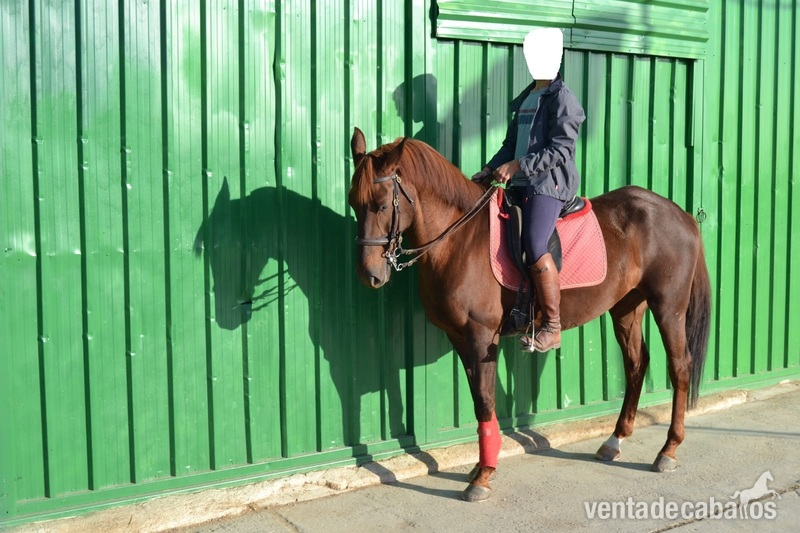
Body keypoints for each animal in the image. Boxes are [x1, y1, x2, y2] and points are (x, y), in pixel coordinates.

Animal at [348, 127, 711, 502]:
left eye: (380, 204)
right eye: (353, 203)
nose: (369, 275)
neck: (459, 239)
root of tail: (680, 214)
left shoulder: (481, 336)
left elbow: (485, 400)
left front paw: (483, 475)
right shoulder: (459, 336)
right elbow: (479, 399)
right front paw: (482, 467)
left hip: (668, 308)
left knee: (680, 366)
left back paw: (668, 450)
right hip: (626, 308)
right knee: (636, 364)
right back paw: (615, 441)